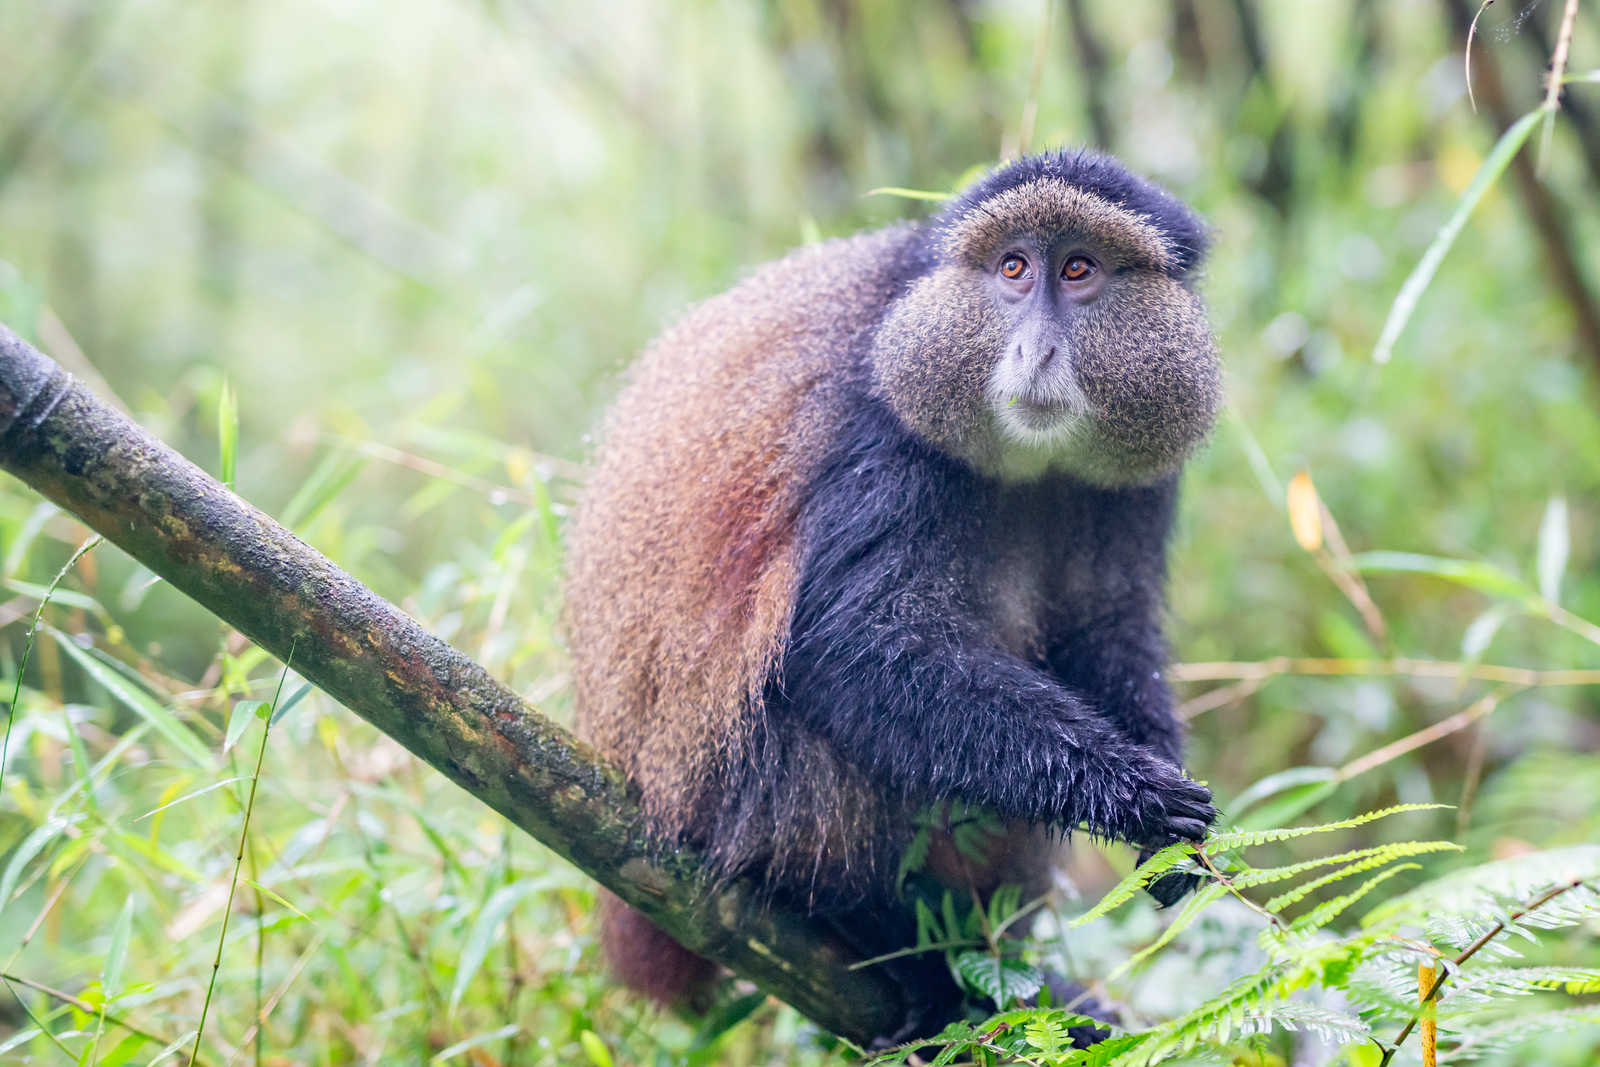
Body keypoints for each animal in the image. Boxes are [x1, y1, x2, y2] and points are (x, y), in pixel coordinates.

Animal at [564, 148, 1220, 1036]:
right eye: (1014, 268)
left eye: (1079, 270)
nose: (1037, 352)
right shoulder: (884, 427)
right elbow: (851, 645)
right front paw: (1135, 796)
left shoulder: (1140, 475)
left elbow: (1106, 631)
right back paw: (896, 946)